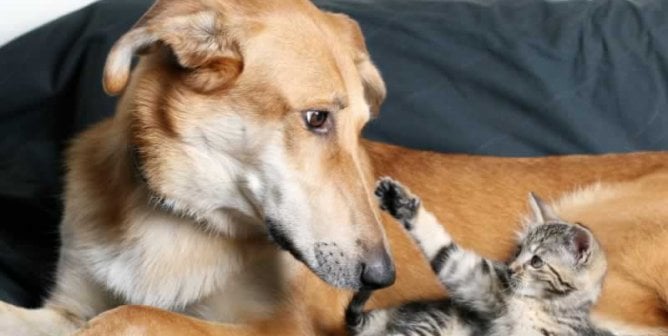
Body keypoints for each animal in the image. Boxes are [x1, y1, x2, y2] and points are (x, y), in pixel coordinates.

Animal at [348, 177, 612, 334]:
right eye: (519, 251)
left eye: (536, 261)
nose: (510, 269)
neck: (543, 305)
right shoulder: (483, 287)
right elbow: (444, 250)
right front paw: (401, 203)